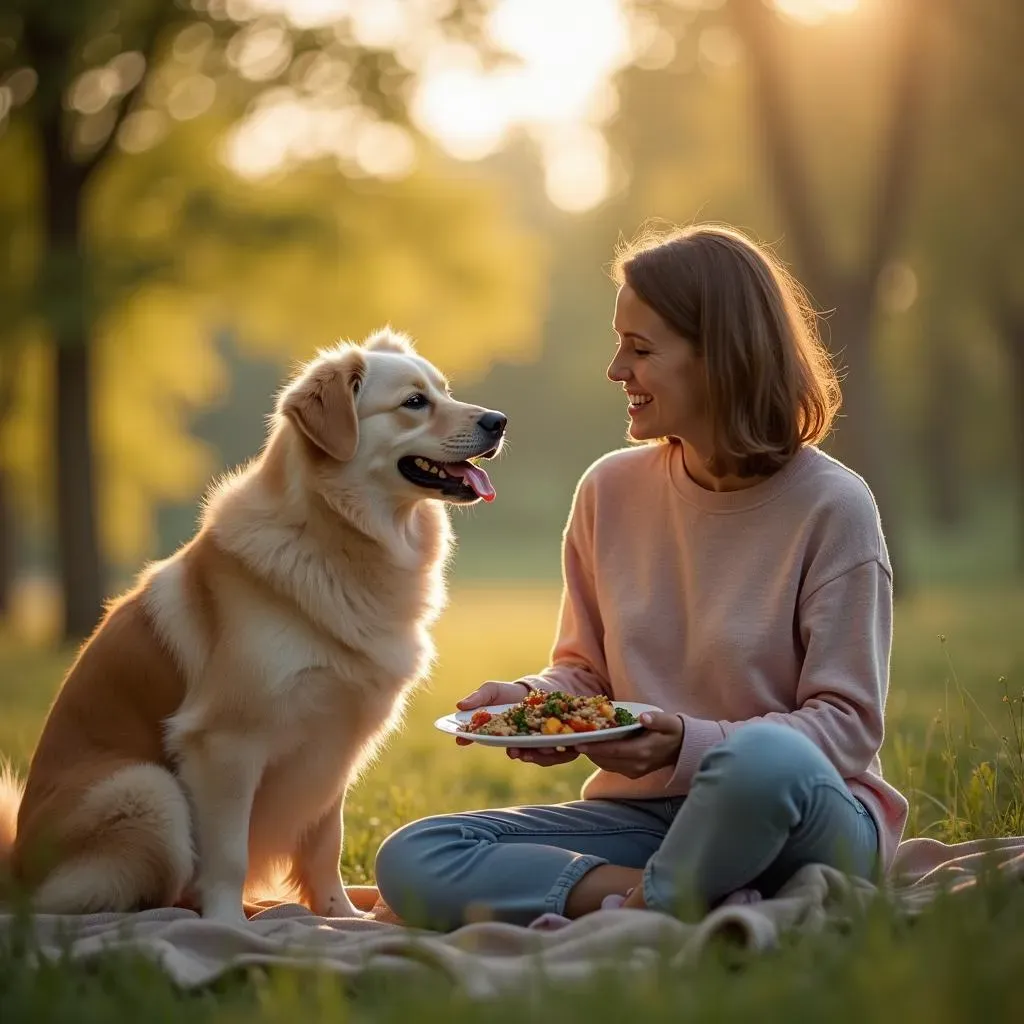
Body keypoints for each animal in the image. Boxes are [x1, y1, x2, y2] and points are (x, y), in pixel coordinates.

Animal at [0, 327, 505, 921]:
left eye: (445, 391)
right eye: (414, 402)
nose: (498, 420)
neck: (334, 538)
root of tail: (13, 868)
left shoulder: (335, 743)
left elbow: (324, 845)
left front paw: (339, 914)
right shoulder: (224, 743)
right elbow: (228, 854)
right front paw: (226, 925)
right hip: (147, 790)